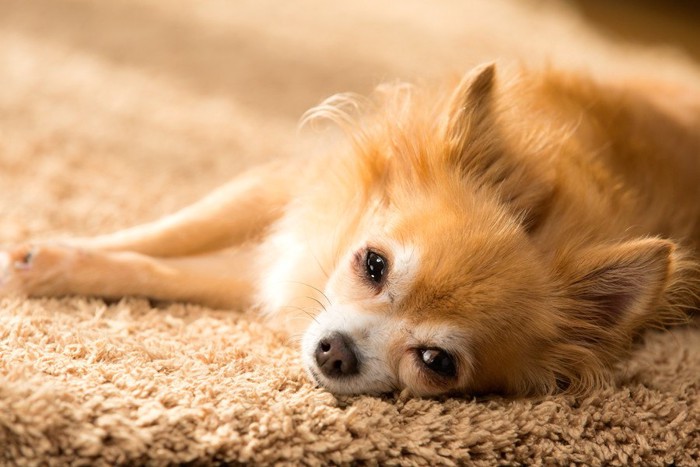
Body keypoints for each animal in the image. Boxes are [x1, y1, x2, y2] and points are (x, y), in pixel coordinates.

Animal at [1, 63, 700, 398]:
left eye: (436, 362)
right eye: (373, 265)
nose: (335, 351)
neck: (546, 222)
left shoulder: (285, 272)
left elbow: (165, 271)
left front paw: (51, 264)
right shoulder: (290, 202)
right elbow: (167, 236)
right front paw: (46, 253)